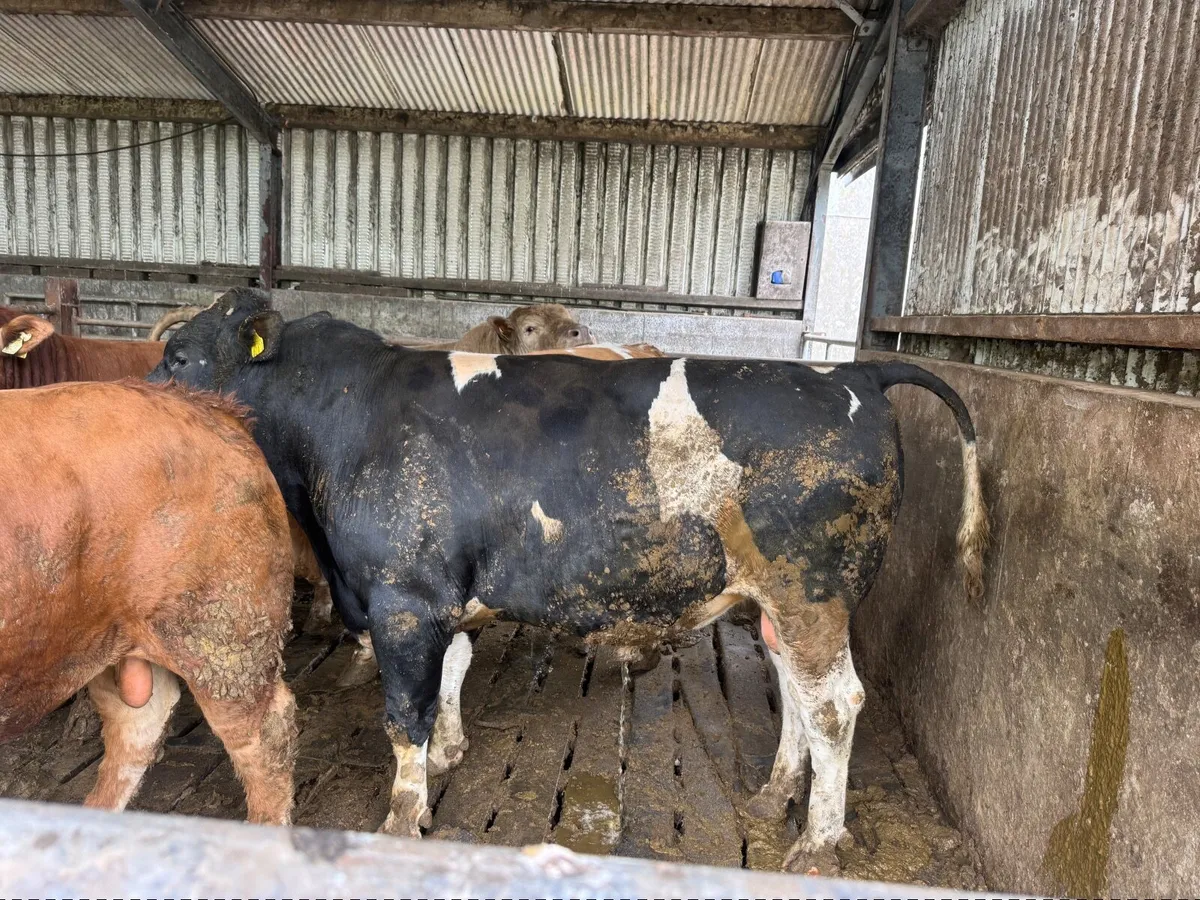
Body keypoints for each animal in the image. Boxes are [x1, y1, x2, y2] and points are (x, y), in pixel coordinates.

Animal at [150, 288, 987, 873]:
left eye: (181, 360)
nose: (143, 403)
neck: (344, 418)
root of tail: (854, 369)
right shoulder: (445, 596)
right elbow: (452, 672)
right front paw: (450, 752)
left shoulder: (403, 600)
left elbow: (402, 715)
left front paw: (400, 815)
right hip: (774, 601)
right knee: (797, 696)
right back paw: (776, 792)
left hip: (811, 590)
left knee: (836, 706)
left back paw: (816, 843)